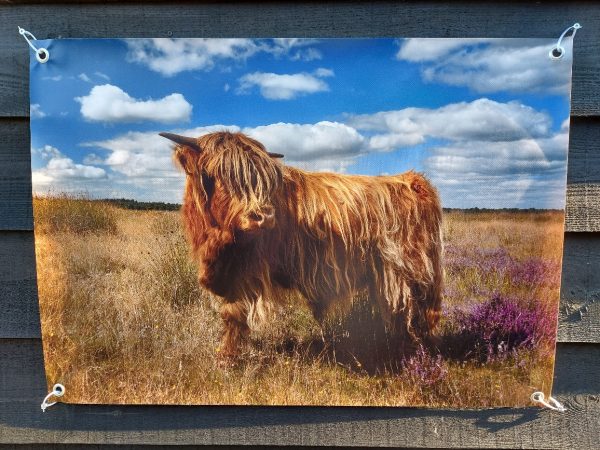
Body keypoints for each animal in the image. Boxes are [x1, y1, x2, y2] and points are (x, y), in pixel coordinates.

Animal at [162, 130, 442, 358]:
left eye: (263, 180)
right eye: (217, 174)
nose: (264, 216)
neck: (217, 240)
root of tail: (413, 180)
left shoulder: (245, 272)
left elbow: (233, 315)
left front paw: (227, 357)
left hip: (408, 272)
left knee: (413, 313)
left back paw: (412, 354)